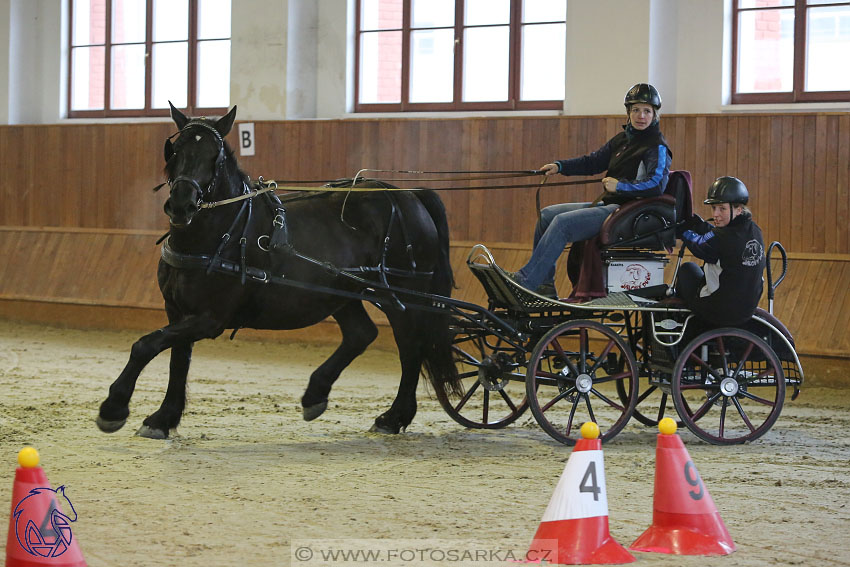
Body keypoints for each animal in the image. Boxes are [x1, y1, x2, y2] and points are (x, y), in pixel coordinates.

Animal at [94, 104, 458, 440]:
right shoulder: (177, 310)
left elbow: (146, 345)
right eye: (176, 150)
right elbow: (177, 359)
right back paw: (316, 394)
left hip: (400, 295)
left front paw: (114, 407)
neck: (218, 231)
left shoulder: (209, 318)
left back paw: (394, 417)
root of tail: (409, 195)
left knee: (410, 346)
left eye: (215, 157)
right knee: (361, 334)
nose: (182, 205)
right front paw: (163, 418)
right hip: (339, 292)